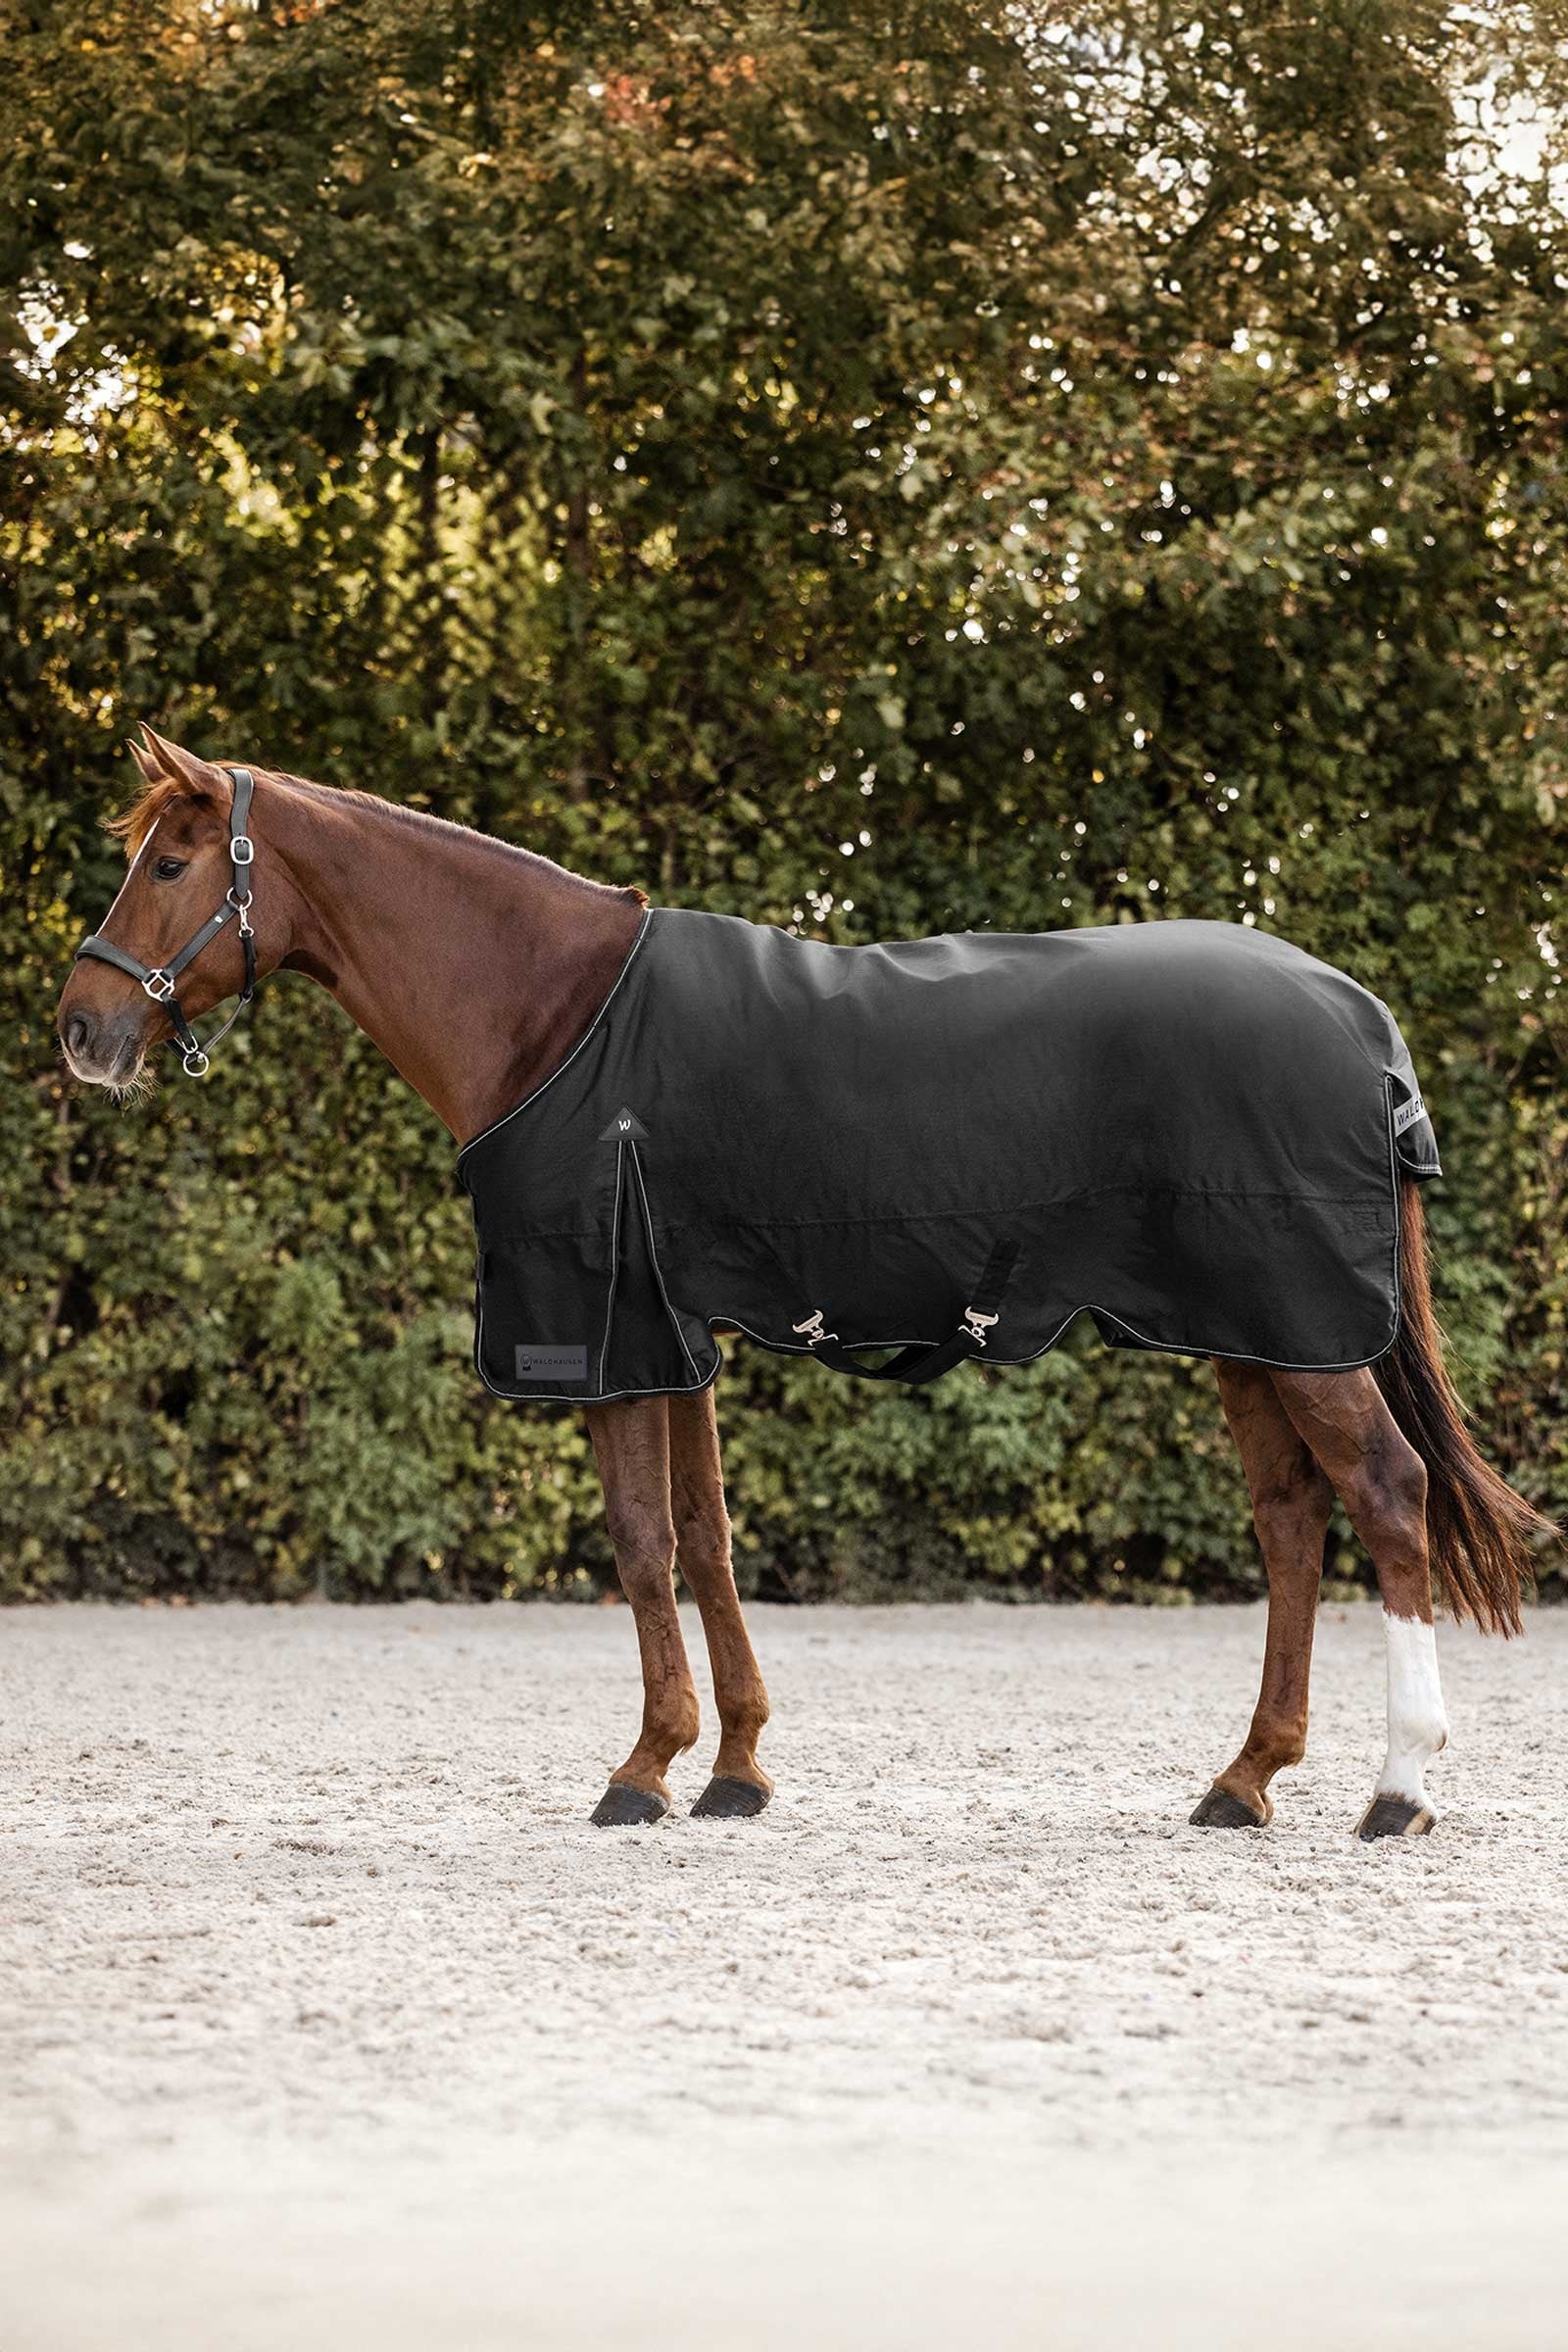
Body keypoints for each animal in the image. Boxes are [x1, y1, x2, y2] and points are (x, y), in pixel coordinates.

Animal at [55, 730, 1551, 1838]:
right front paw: (731, 1769)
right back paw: (1243, 1781)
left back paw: (1396, 1788)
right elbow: (706, 1538)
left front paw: (641, 1770)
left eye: (172, 862)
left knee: (1389, 1498)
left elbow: (641, 1543)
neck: (555, 1015)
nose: (81, 1030)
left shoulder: (610, 1332)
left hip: (1306, 1336)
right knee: (1293, 1525)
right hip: (1252, 1336)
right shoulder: (680, 1335)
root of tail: (1360, 1018)